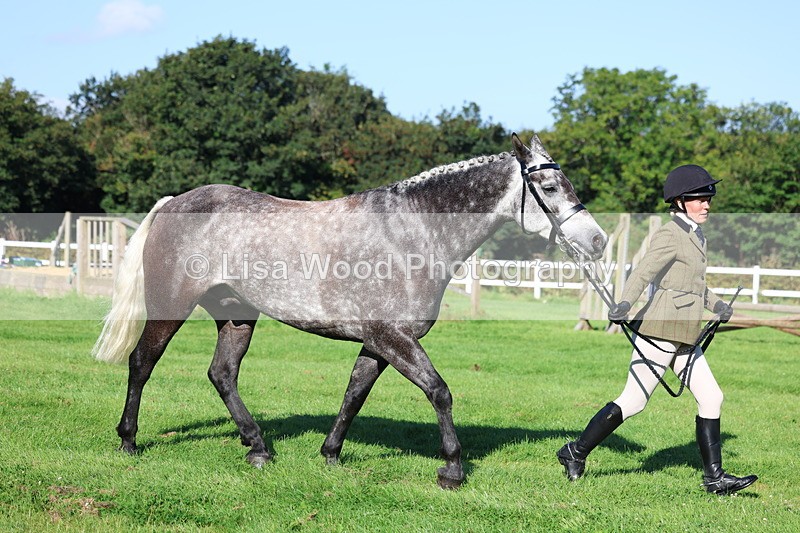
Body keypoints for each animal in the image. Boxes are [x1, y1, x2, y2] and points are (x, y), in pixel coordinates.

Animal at [93, 133, 607, 489]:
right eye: (548, 185)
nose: (597, 240)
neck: (412, 233)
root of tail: (174, 203)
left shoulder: (379, 342)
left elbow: (354, 394)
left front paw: (331, 453)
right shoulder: (391, 336)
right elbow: (439, 392)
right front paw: (452, 469)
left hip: (237, 315)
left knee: (222, 374)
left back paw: (258, 447)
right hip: (171, 306)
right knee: (142, 363)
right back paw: (128, 441)